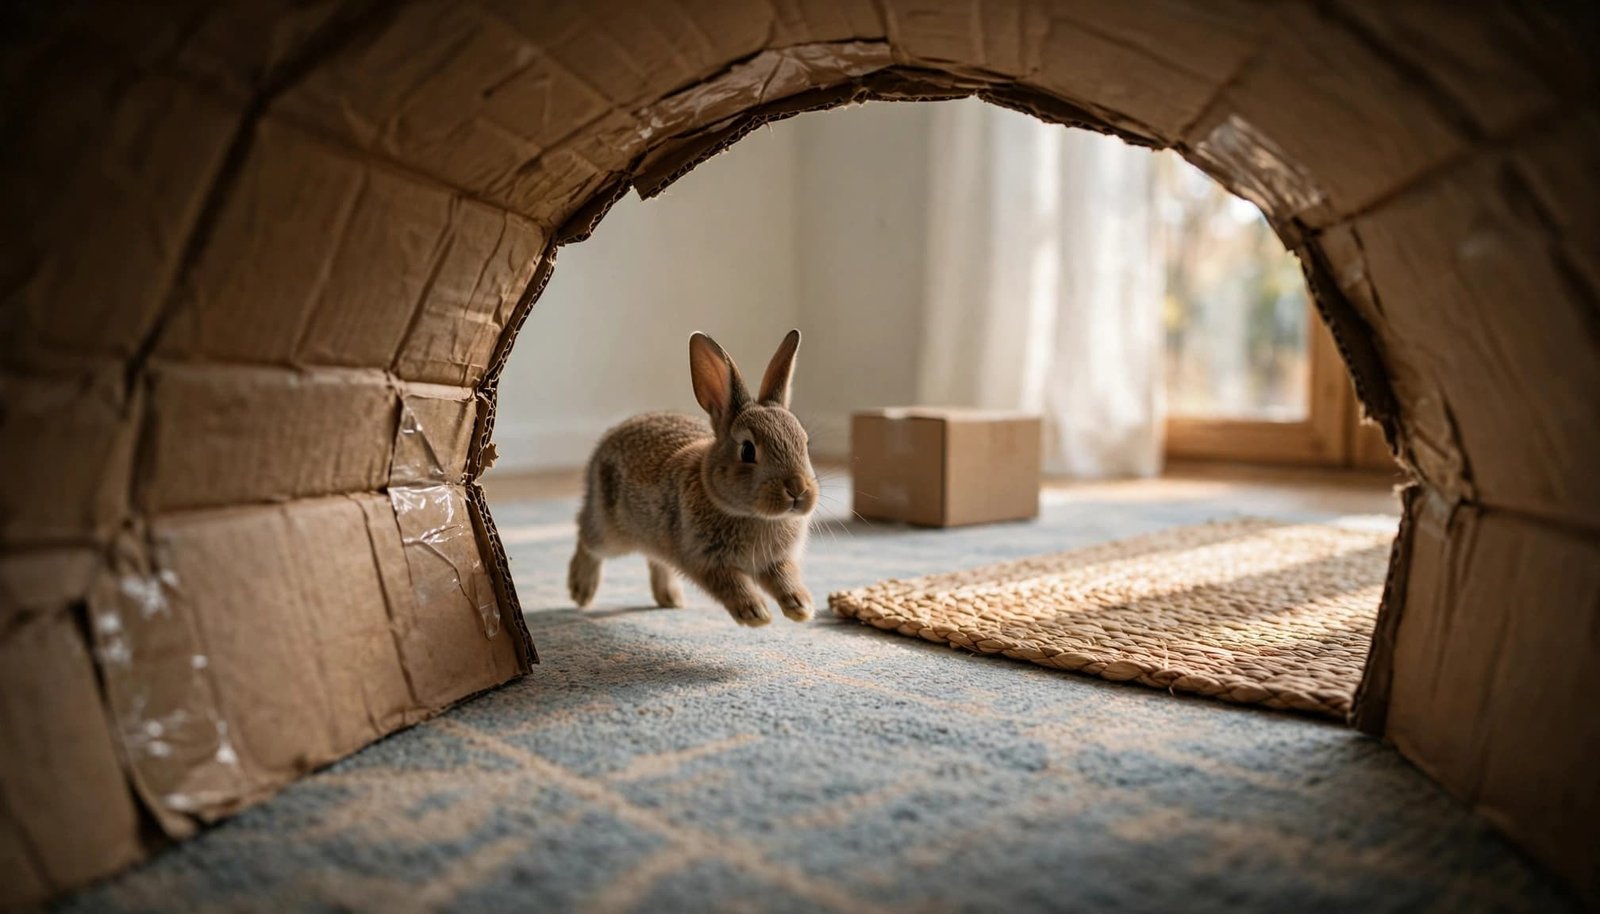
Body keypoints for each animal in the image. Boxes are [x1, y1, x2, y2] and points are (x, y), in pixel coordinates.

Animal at [567, 329, 819, 627]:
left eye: (805, 443)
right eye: (748, 450)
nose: (797, 489)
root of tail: (608, 438)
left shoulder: (776, 561)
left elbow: (785, 578)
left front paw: (801, 607)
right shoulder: (706, 560)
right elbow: (732, 584)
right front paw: (755, 613)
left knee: (656, 559)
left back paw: (670, 598)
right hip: (610, 533)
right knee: (586, 538)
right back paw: (581, 589)